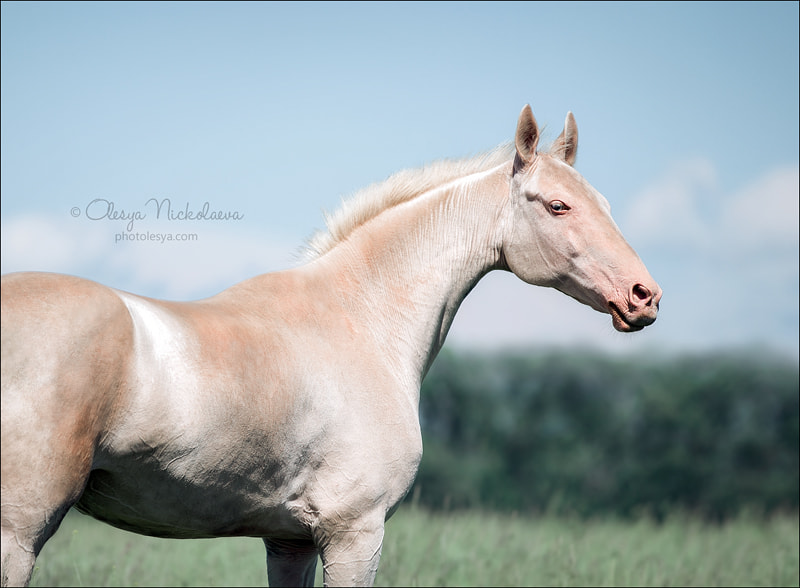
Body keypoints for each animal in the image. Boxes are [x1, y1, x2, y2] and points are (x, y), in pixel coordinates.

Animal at [0, 107, 660, 588]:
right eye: (558, 205)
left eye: (603, 204)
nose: (644, 296)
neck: (363, 319)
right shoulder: (354, 534)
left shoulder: (289, 541)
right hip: (20, 532)